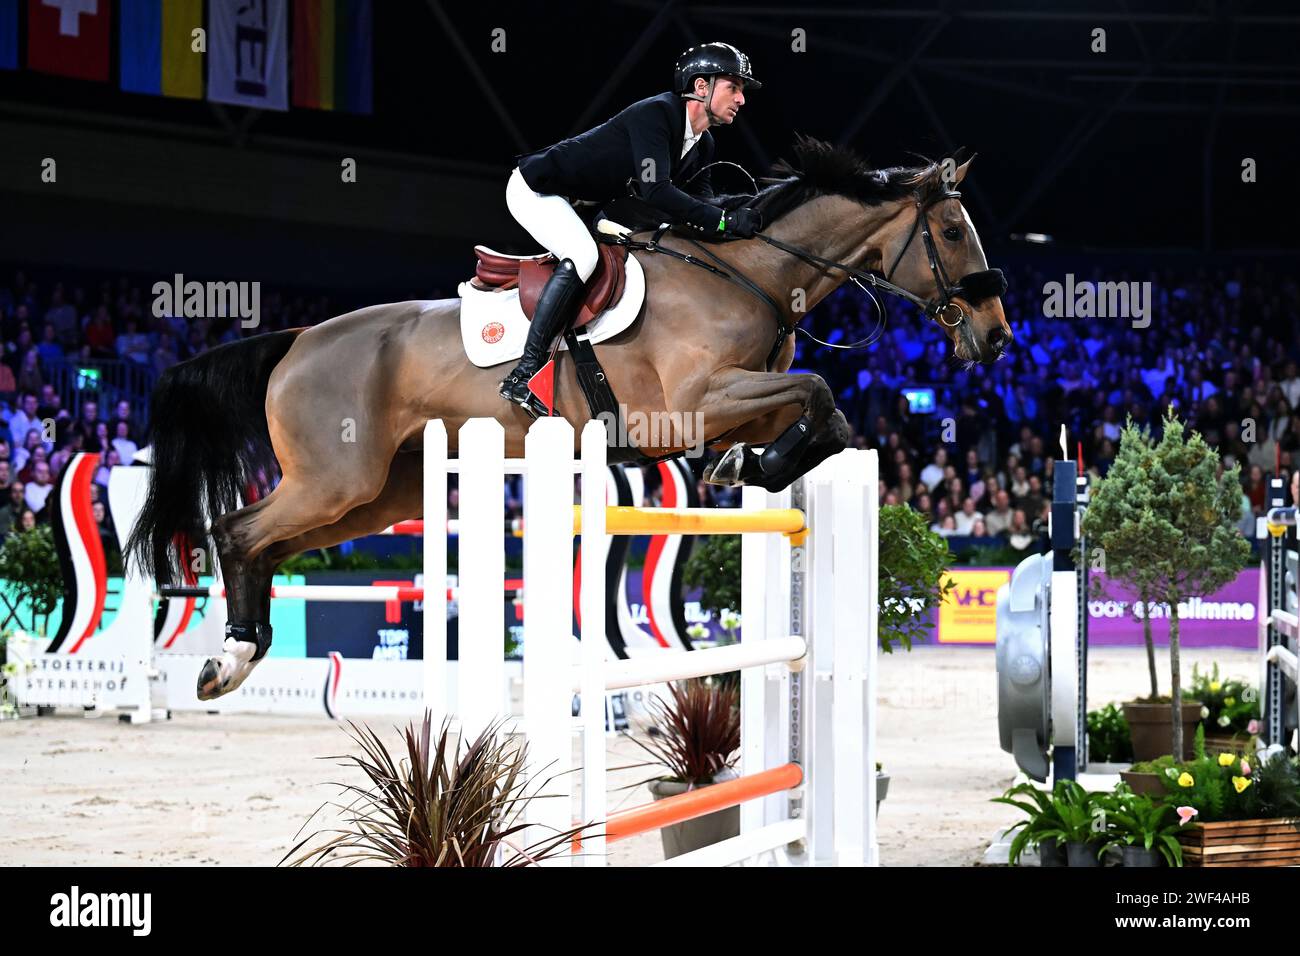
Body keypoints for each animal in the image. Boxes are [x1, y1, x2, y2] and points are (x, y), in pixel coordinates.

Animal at [126, 138, 1008, 697]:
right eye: (952, 229)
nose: (997, 337)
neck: (748, 274)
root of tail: (296, 340)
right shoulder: (684, 412)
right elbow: (820, 394)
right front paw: (760, 465)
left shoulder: (733, 402)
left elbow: (817, 415)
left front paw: (751, 466)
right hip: (332, 479)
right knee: (237, 531)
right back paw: (230, 659)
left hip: (379, 493)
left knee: (268, 545)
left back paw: (237, 656)